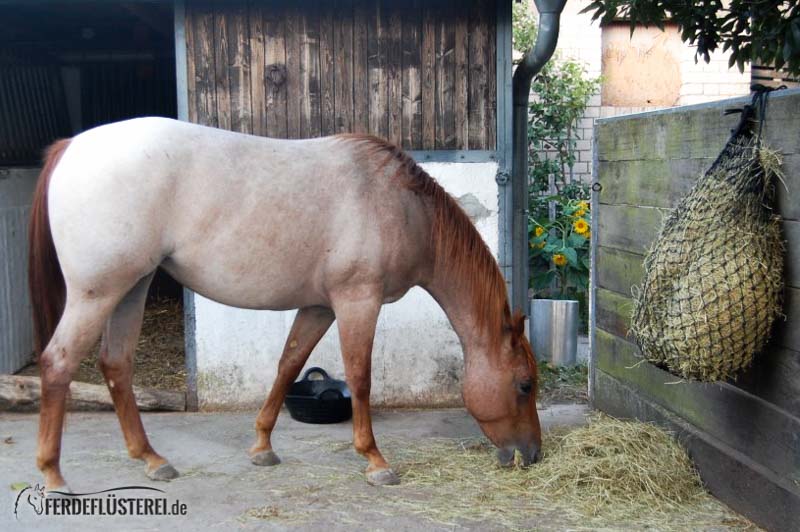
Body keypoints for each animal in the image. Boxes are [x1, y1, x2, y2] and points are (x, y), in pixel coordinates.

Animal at [28, 116, 540, 490]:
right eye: (525, 385)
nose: (532, 454)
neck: (402, 206)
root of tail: (71, 145)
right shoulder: (358, 300)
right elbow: (361, 377)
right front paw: (374, 460)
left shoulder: (320, 307)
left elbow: (288, 364)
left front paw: (262, 447)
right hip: (97, 293)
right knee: (58, 364)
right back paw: (54, 475)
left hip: (131, 287)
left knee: (116, 365)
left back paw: (151, 459)